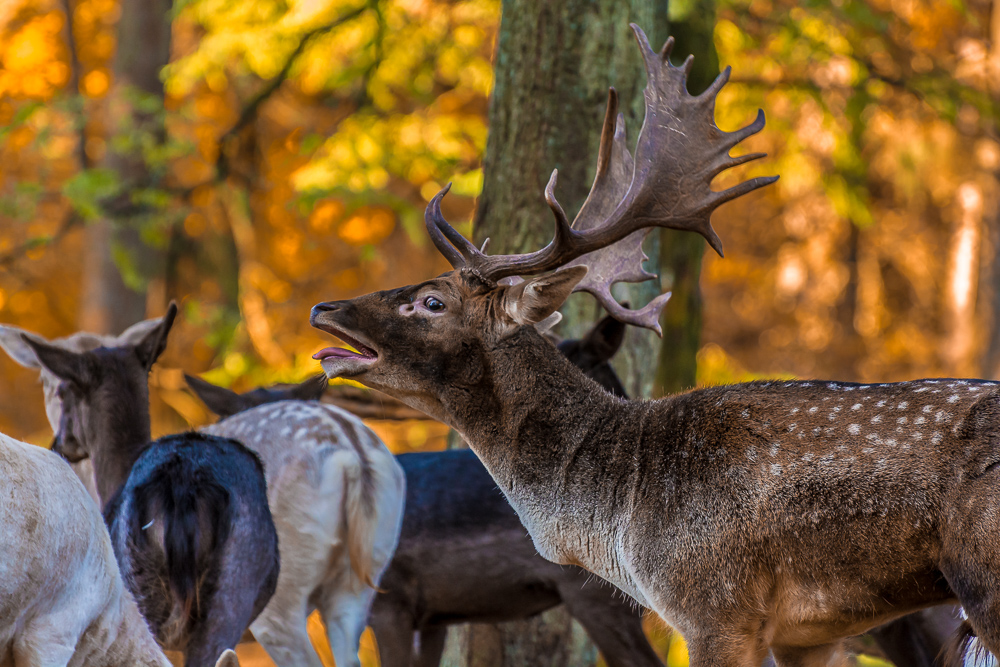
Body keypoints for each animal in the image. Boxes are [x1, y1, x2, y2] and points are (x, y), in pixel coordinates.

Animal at [312, 22, 1000, 667]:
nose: (323, 307)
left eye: (433, 301)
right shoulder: (812, 634)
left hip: (983, 575)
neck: (619, 512)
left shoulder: (715, 605)